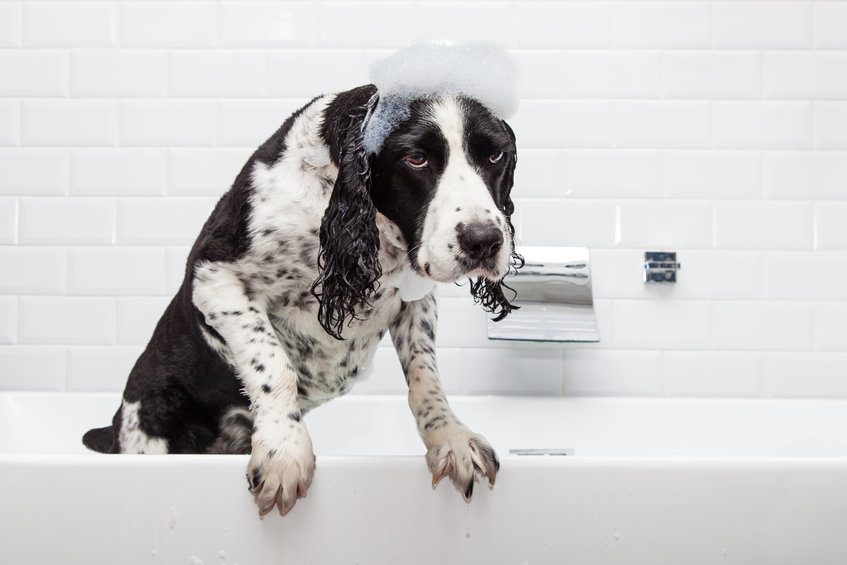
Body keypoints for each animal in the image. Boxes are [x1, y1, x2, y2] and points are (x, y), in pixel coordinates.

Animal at [84, 79, 524, 516]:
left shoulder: (417, 298)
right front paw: (284, 450)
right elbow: (274, 364)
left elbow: (425, 376)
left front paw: (451, 437)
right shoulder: (214, 276)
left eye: (495, 154)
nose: (484, 241)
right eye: (416, 159)